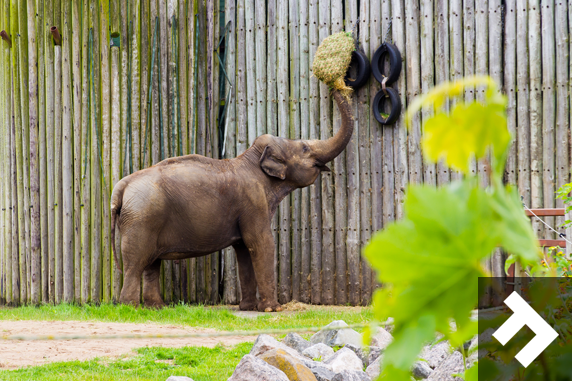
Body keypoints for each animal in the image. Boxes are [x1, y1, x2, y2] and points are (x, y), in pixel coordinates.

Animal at [109, 90, 354, 310]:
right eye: (304, 148)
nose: (337, 85)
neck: (251, 159)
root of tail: (121, 186)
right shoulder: (253, 201)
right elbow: (261, 242)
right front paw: (272, 309)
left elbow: (243, 249)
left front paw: (247, 308)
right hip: (141, 219)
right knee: (135, 264)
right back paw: (130, 309)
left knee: (151, 264)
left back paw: (156, 308)